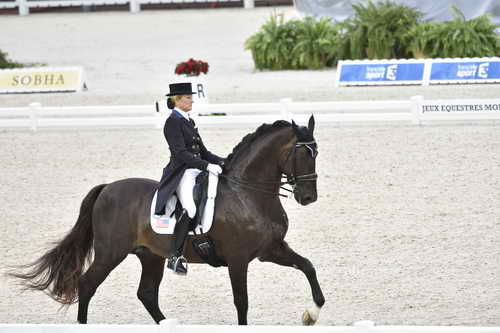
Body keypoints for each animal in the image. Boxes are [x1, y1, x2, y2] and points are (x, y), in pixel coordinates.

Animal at [11, 115, 326, 324]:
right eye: (301, 153)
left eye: (317, 152)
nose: (308, 197)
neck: (247, 193)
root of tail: (108, 188)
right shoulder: (238, 260)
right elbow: (242, 302)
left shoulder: (270, 249)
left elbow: (308, 267)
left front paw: (311, 314)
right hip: (111, 252)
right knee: (88, 284)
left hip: (150, 255)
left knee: (146, 293)